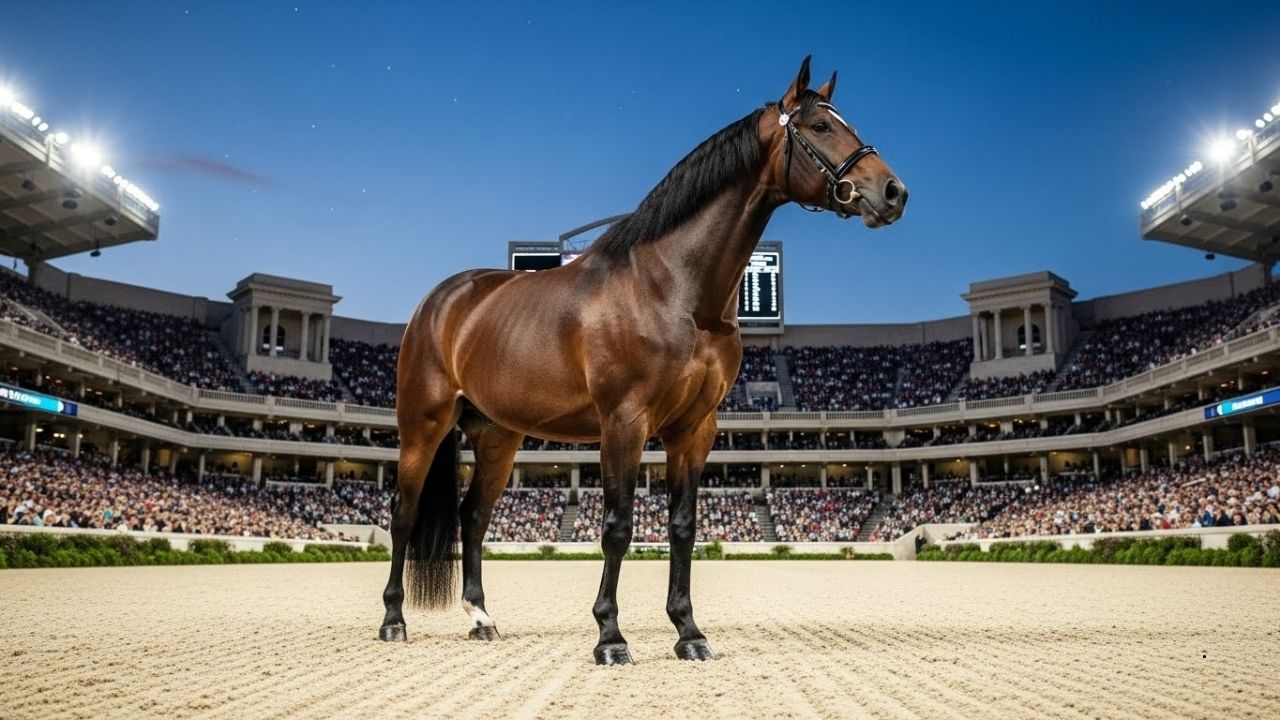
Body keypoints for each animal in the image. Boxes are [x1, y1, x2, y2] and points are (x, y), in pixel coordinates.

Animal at [378, 56, 908, 664]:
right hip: (423, 426)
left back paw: (482, 619)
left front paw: (689, 632)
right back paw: (393, 621)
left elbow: (682, 525)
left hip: (496, 436)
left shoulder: (694, 429)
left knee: (474, 516)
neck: (672, 287)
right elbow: (617, 525)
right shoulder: (624, 423)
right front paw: (610, 637)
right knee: (403, 514)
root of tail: (439, 302)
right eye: (820, 126)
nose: (893, 191)